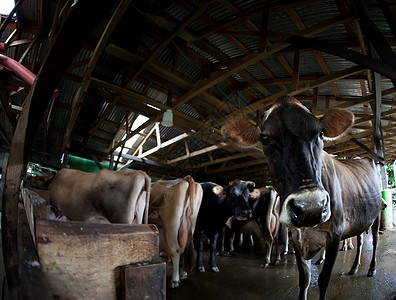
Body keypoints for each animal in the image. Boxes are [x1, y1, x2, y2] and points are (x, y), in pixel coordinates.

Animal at [221, 96, 382, 300]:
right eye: (265, 138)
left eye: (321, 132)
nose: (311, 207)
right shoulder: (295, 235)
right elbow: (304, 279)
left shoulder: (335, 234)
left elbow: (323, 280)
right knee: (360, 239)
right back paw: (354, 267)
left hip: (377, 214)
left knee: (374, 241)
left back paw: (371, 268)